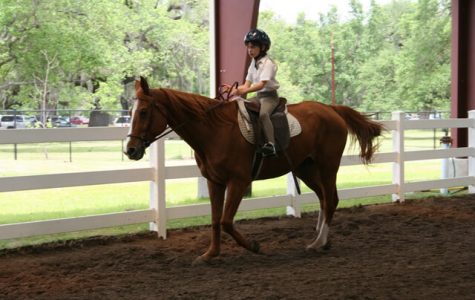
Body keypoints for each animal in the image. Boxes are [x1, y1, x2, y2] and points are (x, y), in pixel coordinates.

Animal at [125, 76, 384, 264]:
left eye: (144, 112)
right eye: (130, 112)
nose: (130, 149)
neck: (214, 131)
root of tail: (331, 109)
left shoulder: (238, 182)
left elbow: (227, 221)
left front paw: (254, 246)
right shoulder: (214, 182)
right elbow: (215, 220)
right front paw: (210, 254)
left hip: (328, 166)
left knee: (330, 200)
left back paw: (317, 243)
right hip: (306, 169)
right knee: (323, 199)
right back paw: (322, 241)